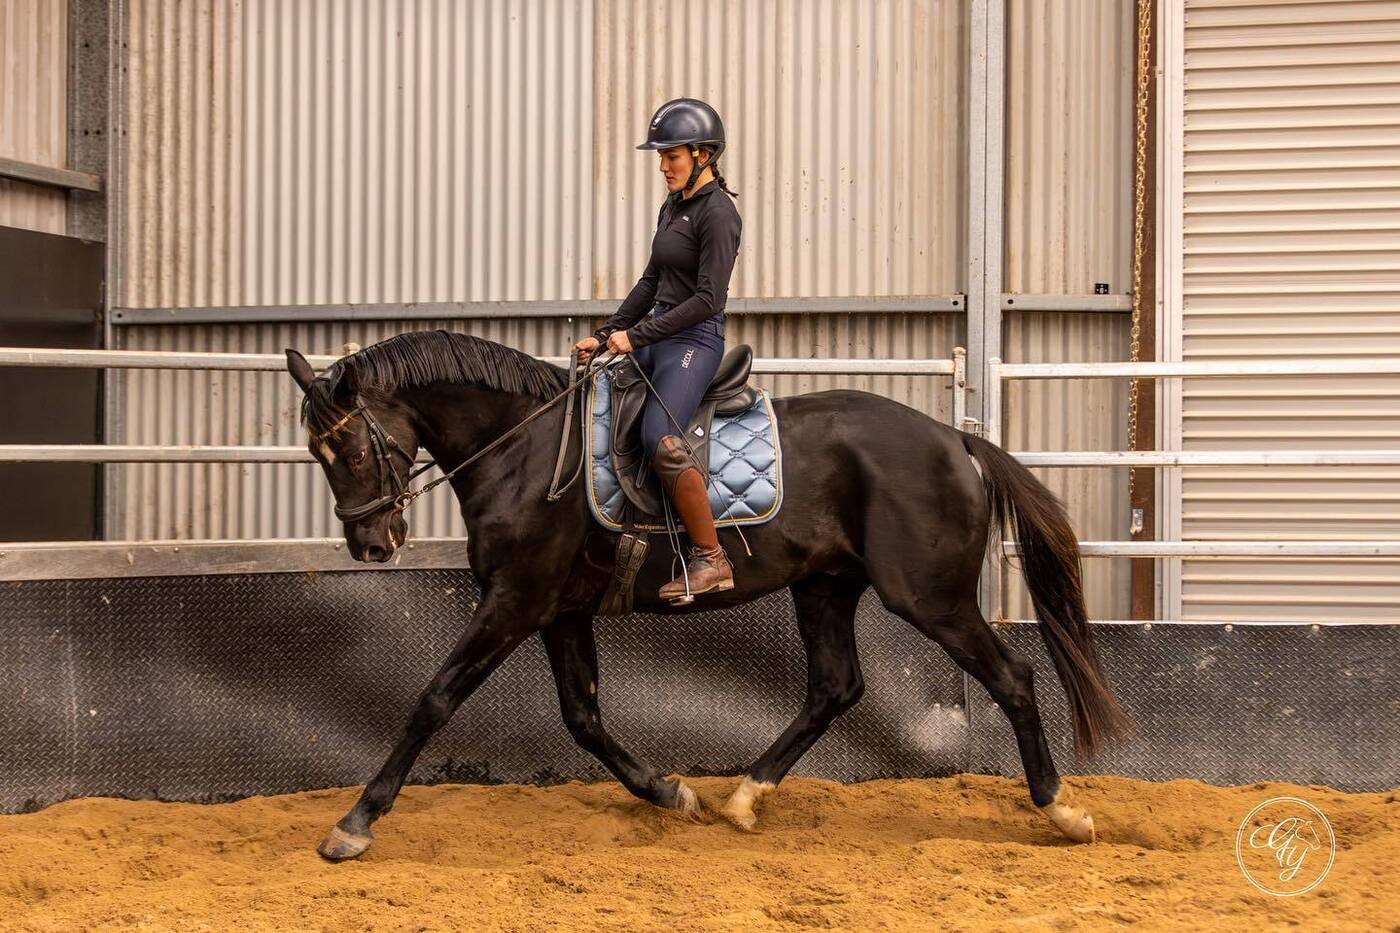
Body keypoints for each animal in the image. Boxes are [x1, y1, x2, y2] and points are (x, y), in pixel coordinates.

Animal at [284, 329, 1131, 861]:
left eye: (348, 447)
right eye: (316, 453)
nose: (371, 544)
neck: (523, 447)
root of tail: (957, 439)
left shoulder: (516, 599)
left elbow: (435, 698)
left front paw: (354, 824)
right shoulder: (558, 608)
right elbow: (583, 717)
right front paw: (671, 793)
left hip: (931, 597)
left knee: (1011, 677)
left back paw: (1063, 810)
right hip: (826, 586)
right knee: (835, 686)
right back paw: (745, 797)